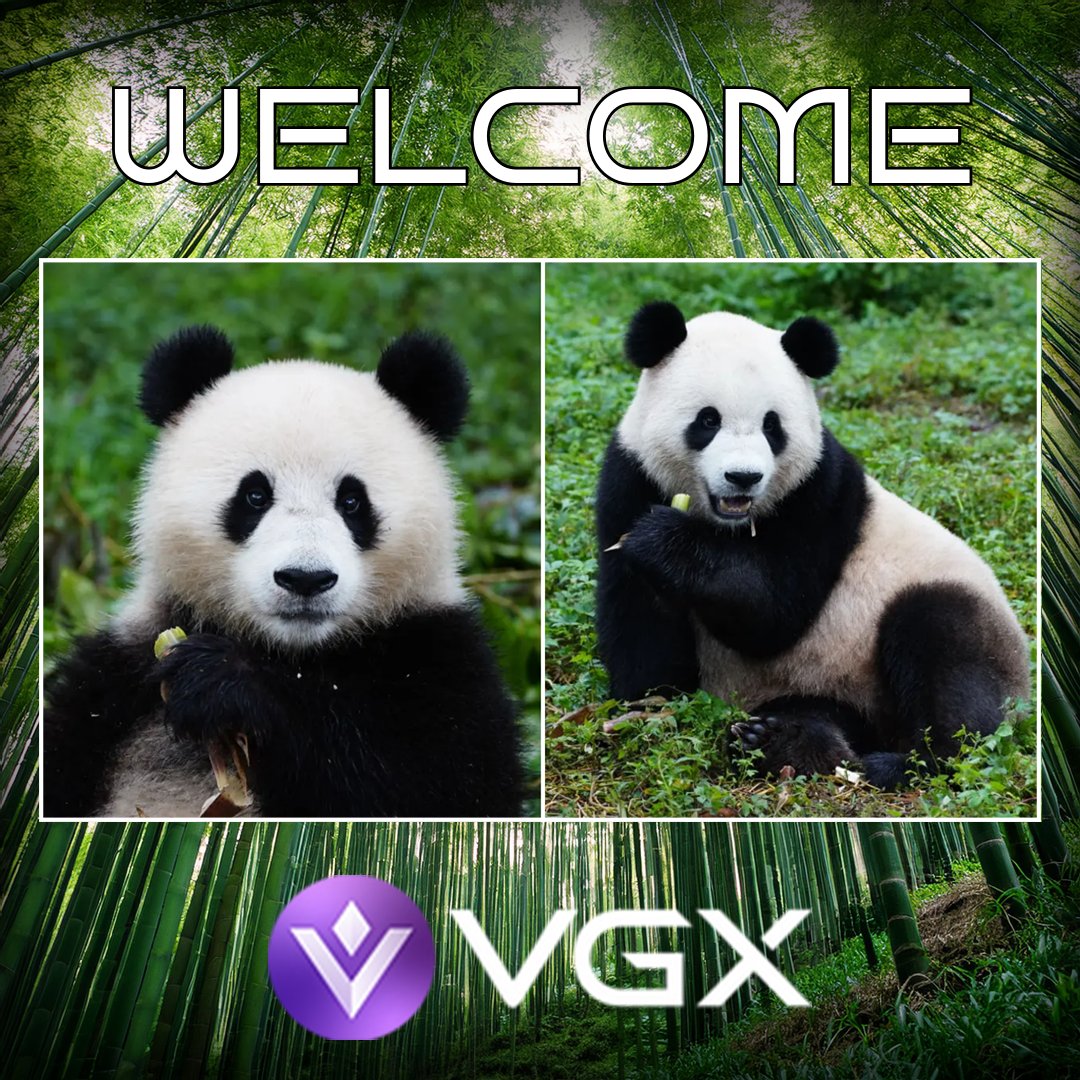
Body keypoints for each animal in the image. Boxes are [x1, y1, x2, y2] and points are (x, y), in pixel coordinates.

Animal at [44, 326, 523, 818]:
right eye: (254, 496)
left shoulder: (438, 656)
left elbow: (431, 782)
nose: (305, 579)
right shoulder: (119, 672)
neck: (294, 655)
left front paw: (222, 682)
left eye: (352, 501)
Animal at [596, 302, 1030, 790]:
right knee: (821, 713)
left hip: (948, 619)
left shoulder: (820, 492)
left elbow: (775, 612)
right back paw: (781, 741)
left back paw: (904, 763)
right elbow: (641, 624)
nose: (743, 477)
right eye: (708, 420)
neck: (727, 525)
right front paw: (649, 697)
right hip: (822, 687)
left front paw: (663, 539)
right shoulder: (629, 477)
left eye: (772, 425)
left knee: (948, 653)